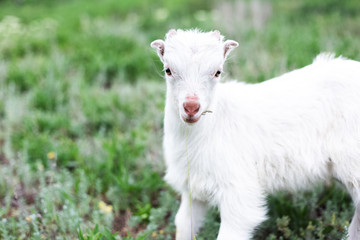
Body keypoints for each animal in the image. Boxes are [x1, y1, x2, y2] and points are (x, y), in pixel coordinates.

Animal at [150, 29, 360, 239]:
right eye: (168, 70)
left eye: (218, 72)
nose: (191, 107)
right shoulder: (193, 187)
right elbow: (184, 223)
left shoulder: (238, 190)